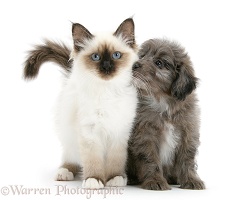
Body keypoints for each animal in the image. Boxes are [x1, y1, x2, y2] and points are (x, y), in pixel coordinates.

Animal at [24, 18, 139, 188]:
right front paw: (94, 180)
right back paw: (64, 172)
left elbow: (116, 160)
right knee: (70, 157)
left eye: (116, 55)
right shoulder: (89, 133)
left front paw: (114, 178)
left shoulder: (118, 133)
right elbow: (92, 161)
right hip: (69, 135)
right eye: (96, 57)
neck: (106, 91)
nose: (106, 67)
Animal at [127, 38, 205, 190]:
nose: (135, 65)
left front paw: (191, 179)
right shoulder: (145, 135)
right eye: (142, 56)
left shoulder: (188, 133)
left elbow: (187, 159)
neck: (163, 103)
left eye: (159, 63)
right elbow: (150, 159)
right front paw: (155, 180)